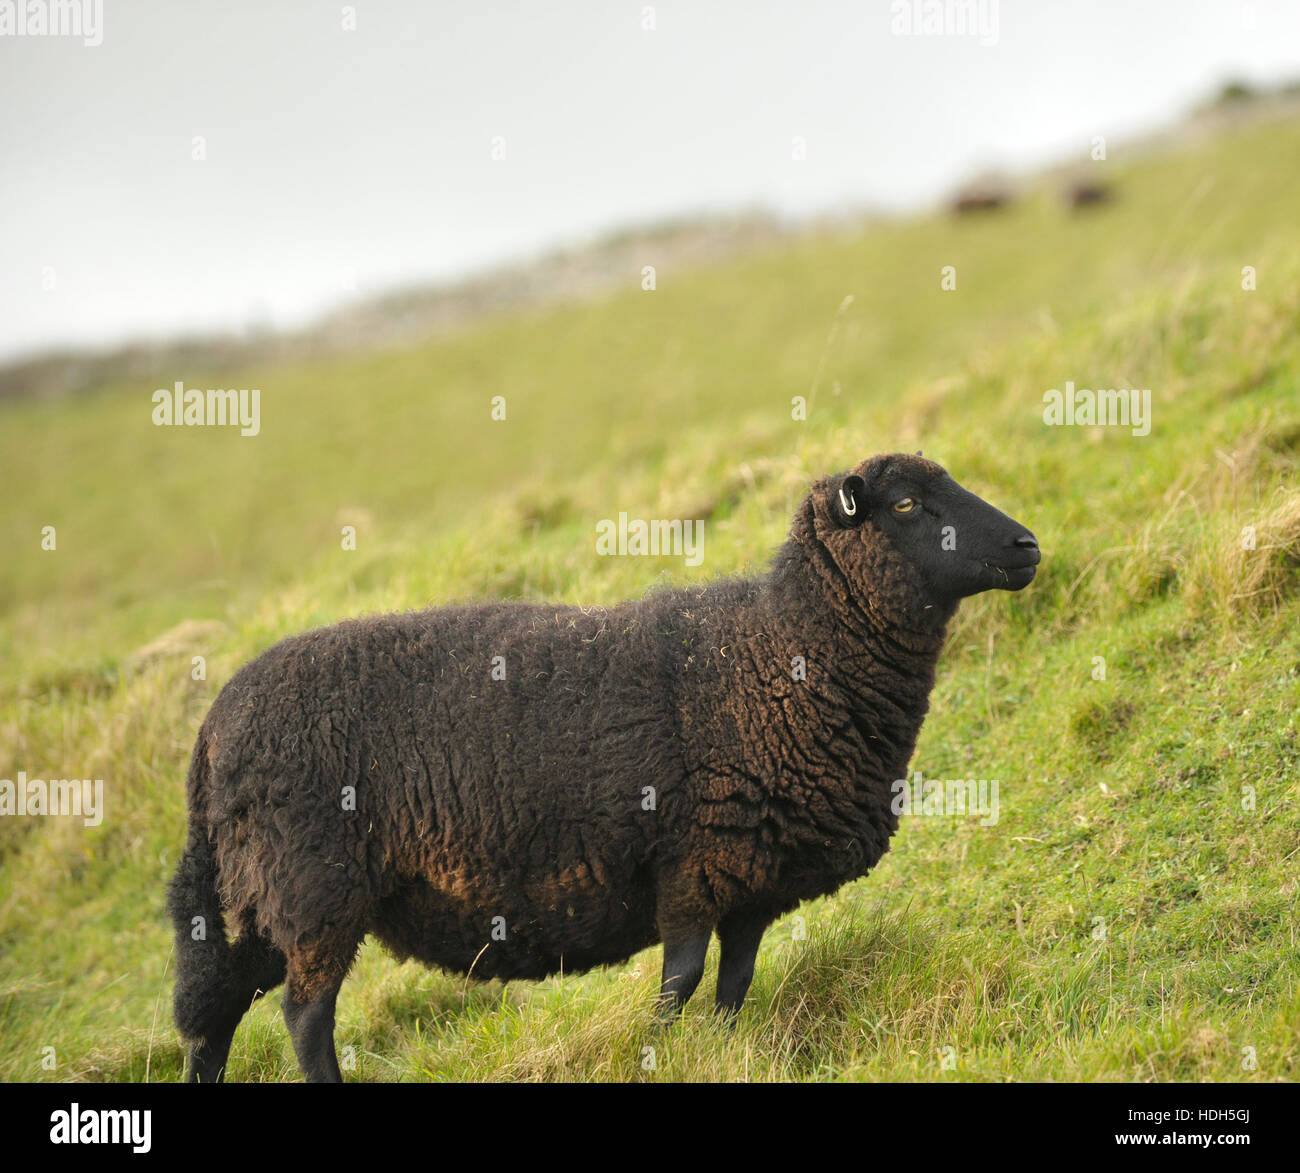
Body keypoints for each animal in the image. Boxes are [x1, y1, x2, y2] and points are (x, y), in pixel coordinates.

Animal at [167, 452, 1040, 1082]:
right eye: (906, 506)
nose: (1028, 546)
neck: (776, 656)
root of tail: (212, 730)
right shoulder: (692, 863)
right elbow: (681, 979)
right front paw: (659, 1053)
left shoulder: (750, 876)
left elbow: (734, 983)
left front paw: (719, 1052)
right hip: (314, 885)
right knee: (304, 1016)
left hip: (258, 897)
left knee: (214, 1019)